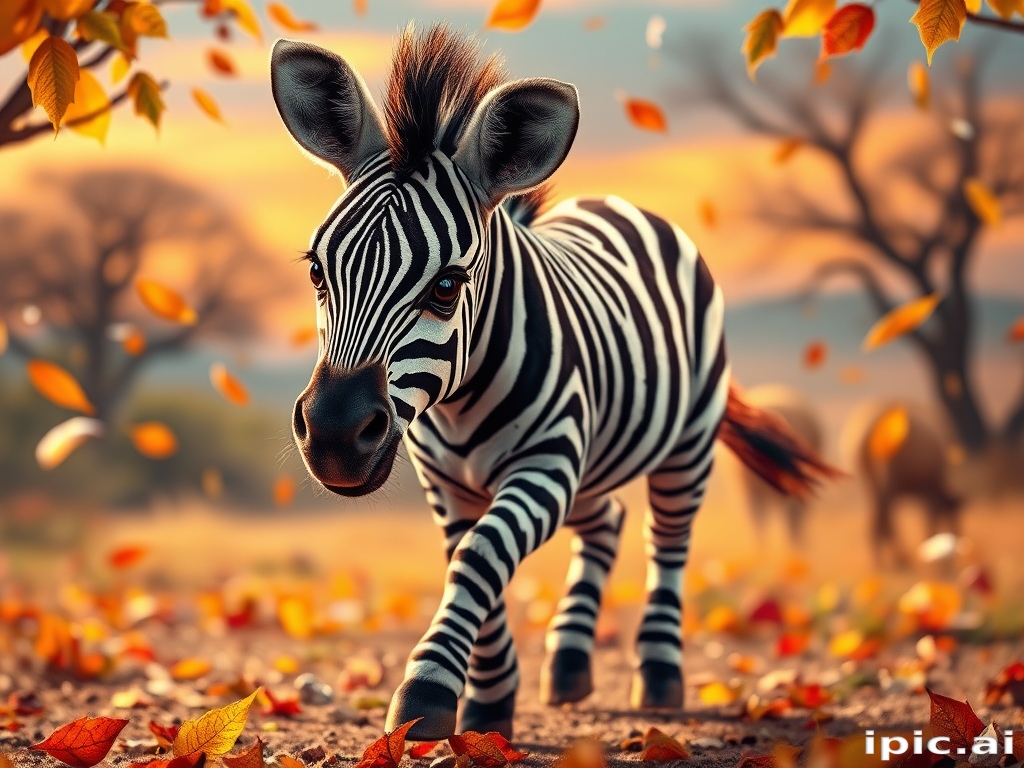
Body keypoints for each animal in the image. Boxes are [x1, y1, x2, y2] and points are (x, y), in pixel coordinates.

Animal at [270, 25, 834, 741]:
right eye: (317, 271)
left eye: (447, 287)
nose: (335, 437)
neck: (456, 405)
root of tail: (617, 202)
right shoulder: (447, 481)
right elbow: (469, 560)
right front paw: (488, 700)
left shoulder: (547, 464)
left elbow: (480, 557)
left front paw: (428, 688)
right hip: (594, 457)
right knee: (608, 522)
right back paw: (567, 664)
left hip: (685, 445)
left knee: (667, 543)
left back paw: (660, 676)